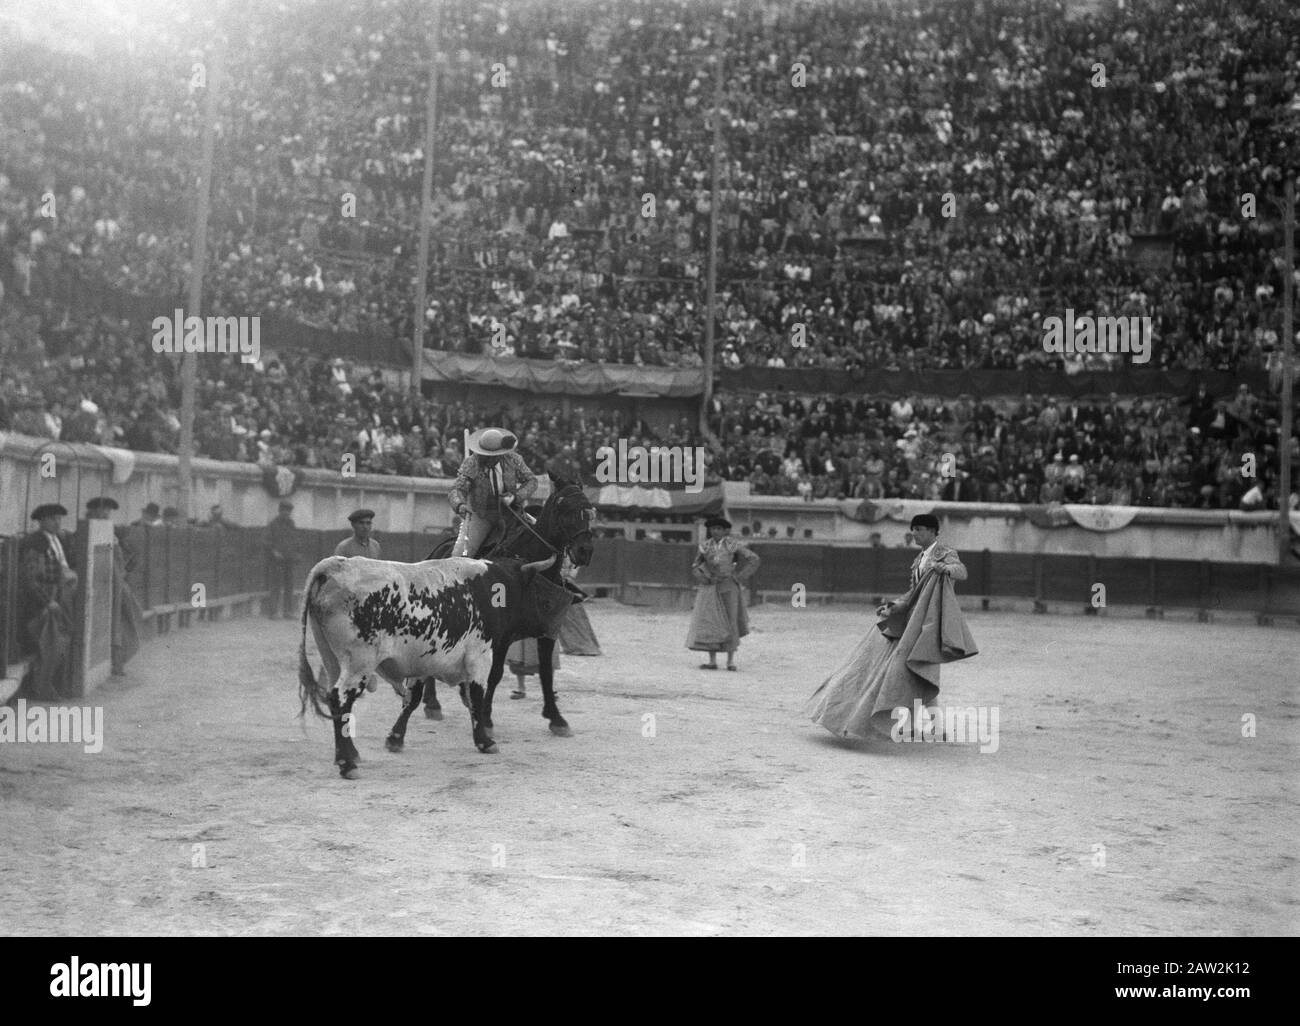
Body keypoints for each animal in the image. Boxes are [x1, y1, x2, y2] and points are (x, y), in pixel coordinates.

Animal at [304, 556, 574, 775]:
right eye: (541, 593)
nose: (555, 629)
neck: (496, 586)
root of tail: (336, 565)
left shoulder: (423, 661)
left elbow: (412, 699)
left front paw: (395, 738)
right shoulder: (479, 656)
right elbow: (476, 697)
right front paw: (484, 741)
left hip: (333, 661)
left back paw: (350, 755)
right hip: (359, 664)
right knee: (340, 699)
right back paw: (347, 764)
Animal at [379, 473, 595, 754]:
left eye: (588, 509)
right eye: (563, 507)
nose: (584, 551)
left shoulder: (548, 631)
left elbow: (546, 673)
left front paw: (557, 719)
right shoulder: (501, 638)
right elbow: (495, 674)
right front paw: (487, 720)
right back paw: (433, 704)